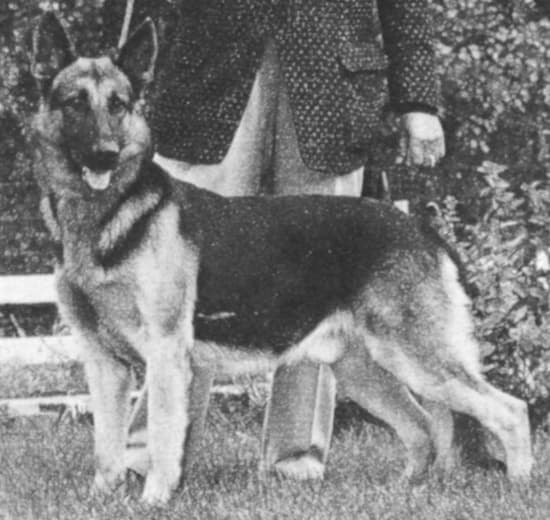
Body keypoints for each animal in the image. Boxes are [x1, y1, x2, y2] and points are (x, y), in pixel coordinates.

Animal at [31, 12, 536, 506]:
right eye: (75, 102)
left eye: (118, 105)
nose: (104, 154)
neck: (103, 214)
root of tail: (422, 229)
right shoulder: (103, 363)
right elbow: (107, 446)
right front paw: (102, 497)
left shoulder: (166, 353)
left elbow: (161, 438)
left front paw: (153, 500)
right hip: (364, 370)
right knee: (425, 428)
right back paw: (402, 492)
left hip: (416, 358)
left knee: (509, 410)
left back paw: (520, 486)